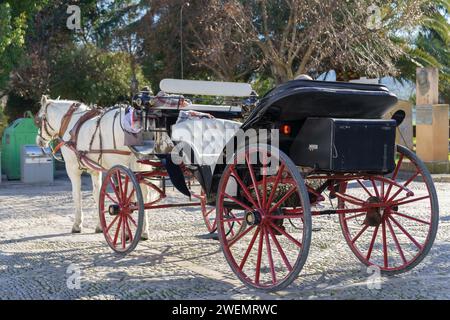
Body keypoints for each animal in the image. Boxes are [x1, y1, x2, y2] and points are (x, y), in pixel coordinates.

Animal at [36, 95, 155, 238]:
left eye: (39, 120)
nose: (39, 141)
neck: (71, 122)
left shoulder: (73, 170)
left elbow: (77, 194)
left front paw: (77, 224)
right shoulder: (94, 170)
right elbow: (97, 194)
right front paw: (99, 225)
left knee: (131, 196)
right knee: (143, 194)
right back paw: (143, 231)